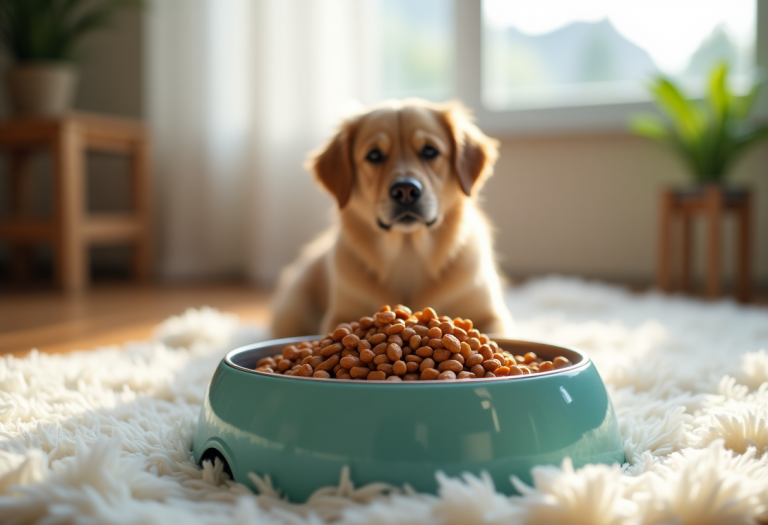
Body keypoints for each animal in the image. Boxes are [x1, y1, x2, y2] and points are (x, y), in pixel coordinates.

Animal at [272, 99, 516, 338]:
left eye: (430, 151)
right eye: (374, 155)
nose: (406, 190)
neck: (407, 252)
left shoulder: (492, 316)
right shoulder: (338, 317)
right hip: (291, 313)